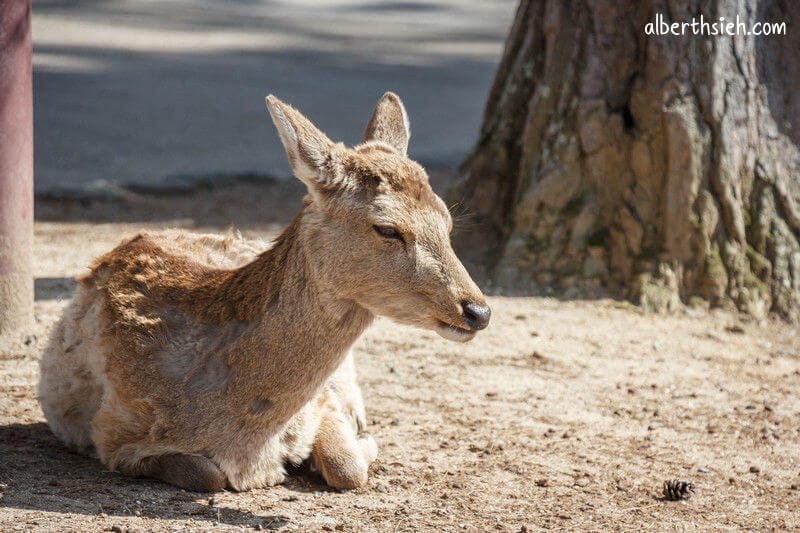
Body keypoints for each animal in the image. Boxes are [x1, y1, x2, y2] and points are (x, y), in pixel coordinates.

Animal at [38, 92, 491, 492]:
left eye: (447, 220)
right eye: (387, 228)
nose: (478, 311)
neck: (250, 437)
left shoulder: (324, 402)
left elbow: (346, 467)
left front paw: (359, 442)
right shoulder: (114, 435)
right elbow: (207, 474)